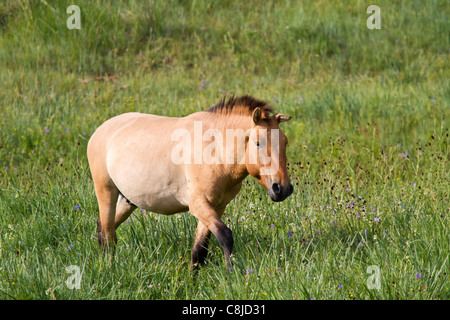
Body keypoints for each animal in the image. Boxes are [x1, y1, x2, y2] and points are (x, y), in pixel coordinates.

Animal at [88, 95, 294, 270]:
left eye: (285, 142)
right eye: (258, 143)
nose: (282, 189)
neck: (214, 149)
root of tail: (100, 130)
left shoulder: (216, 206)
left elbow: (200, 250)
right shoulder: (198, 204)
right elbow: (225, 236)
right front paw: (231, 272)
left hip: (128, 200)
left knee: (104, 227)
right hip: (106, 191)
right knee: (107, 230)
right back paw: (109, 266)